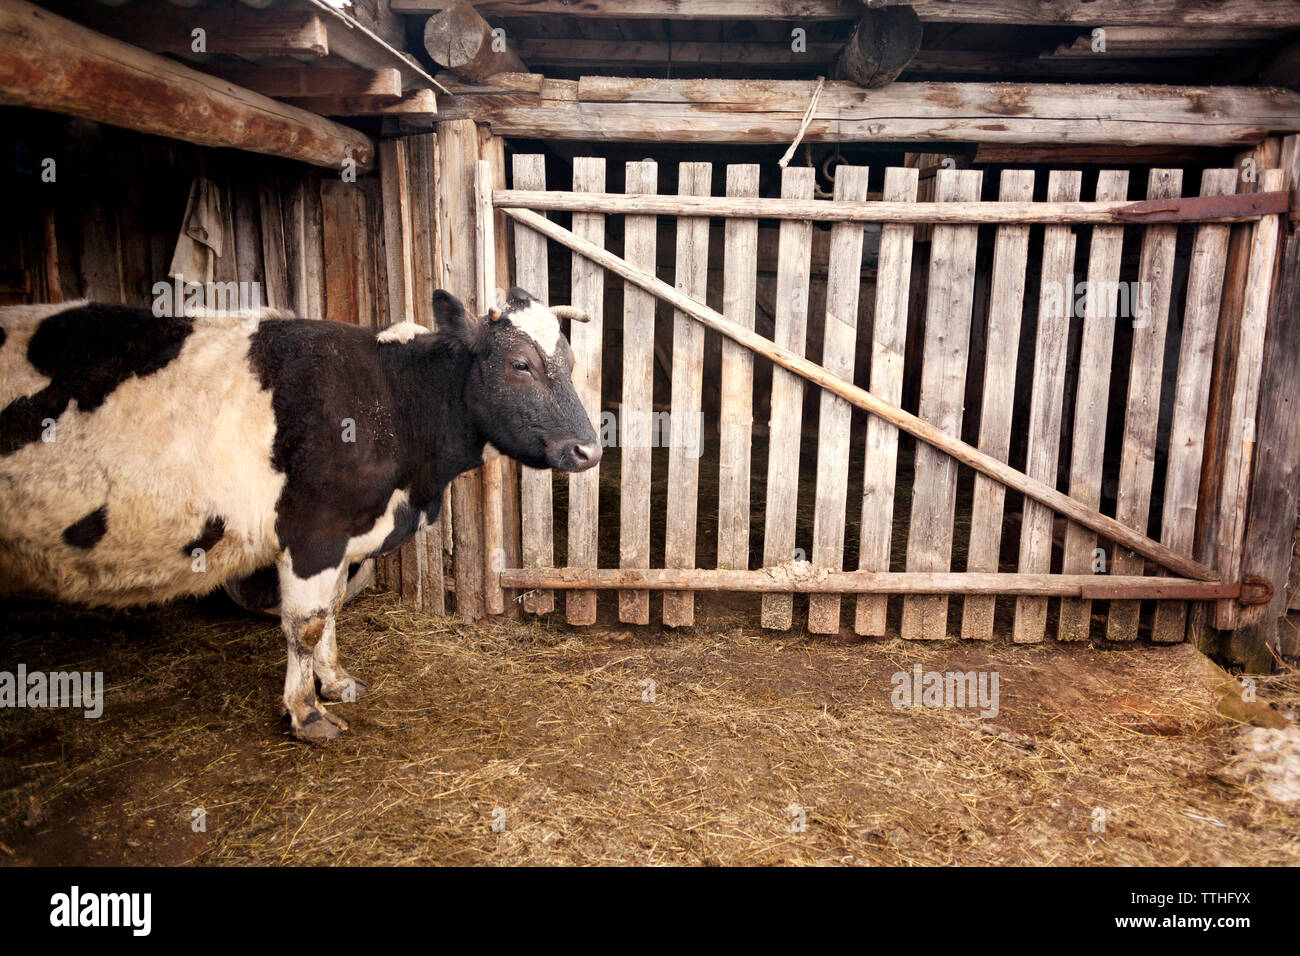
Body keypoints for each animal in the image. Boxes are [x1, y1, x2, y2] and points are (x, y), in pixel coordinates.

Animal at [0, 287, 598, 743]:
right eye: (520, 365)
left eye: (570, 364)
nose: (589, 450)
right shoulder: (313, 531)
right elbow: (306, 623)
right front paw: (306, 712)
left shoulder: (345, 535)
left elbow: (332, 607)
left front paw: (334, 681)